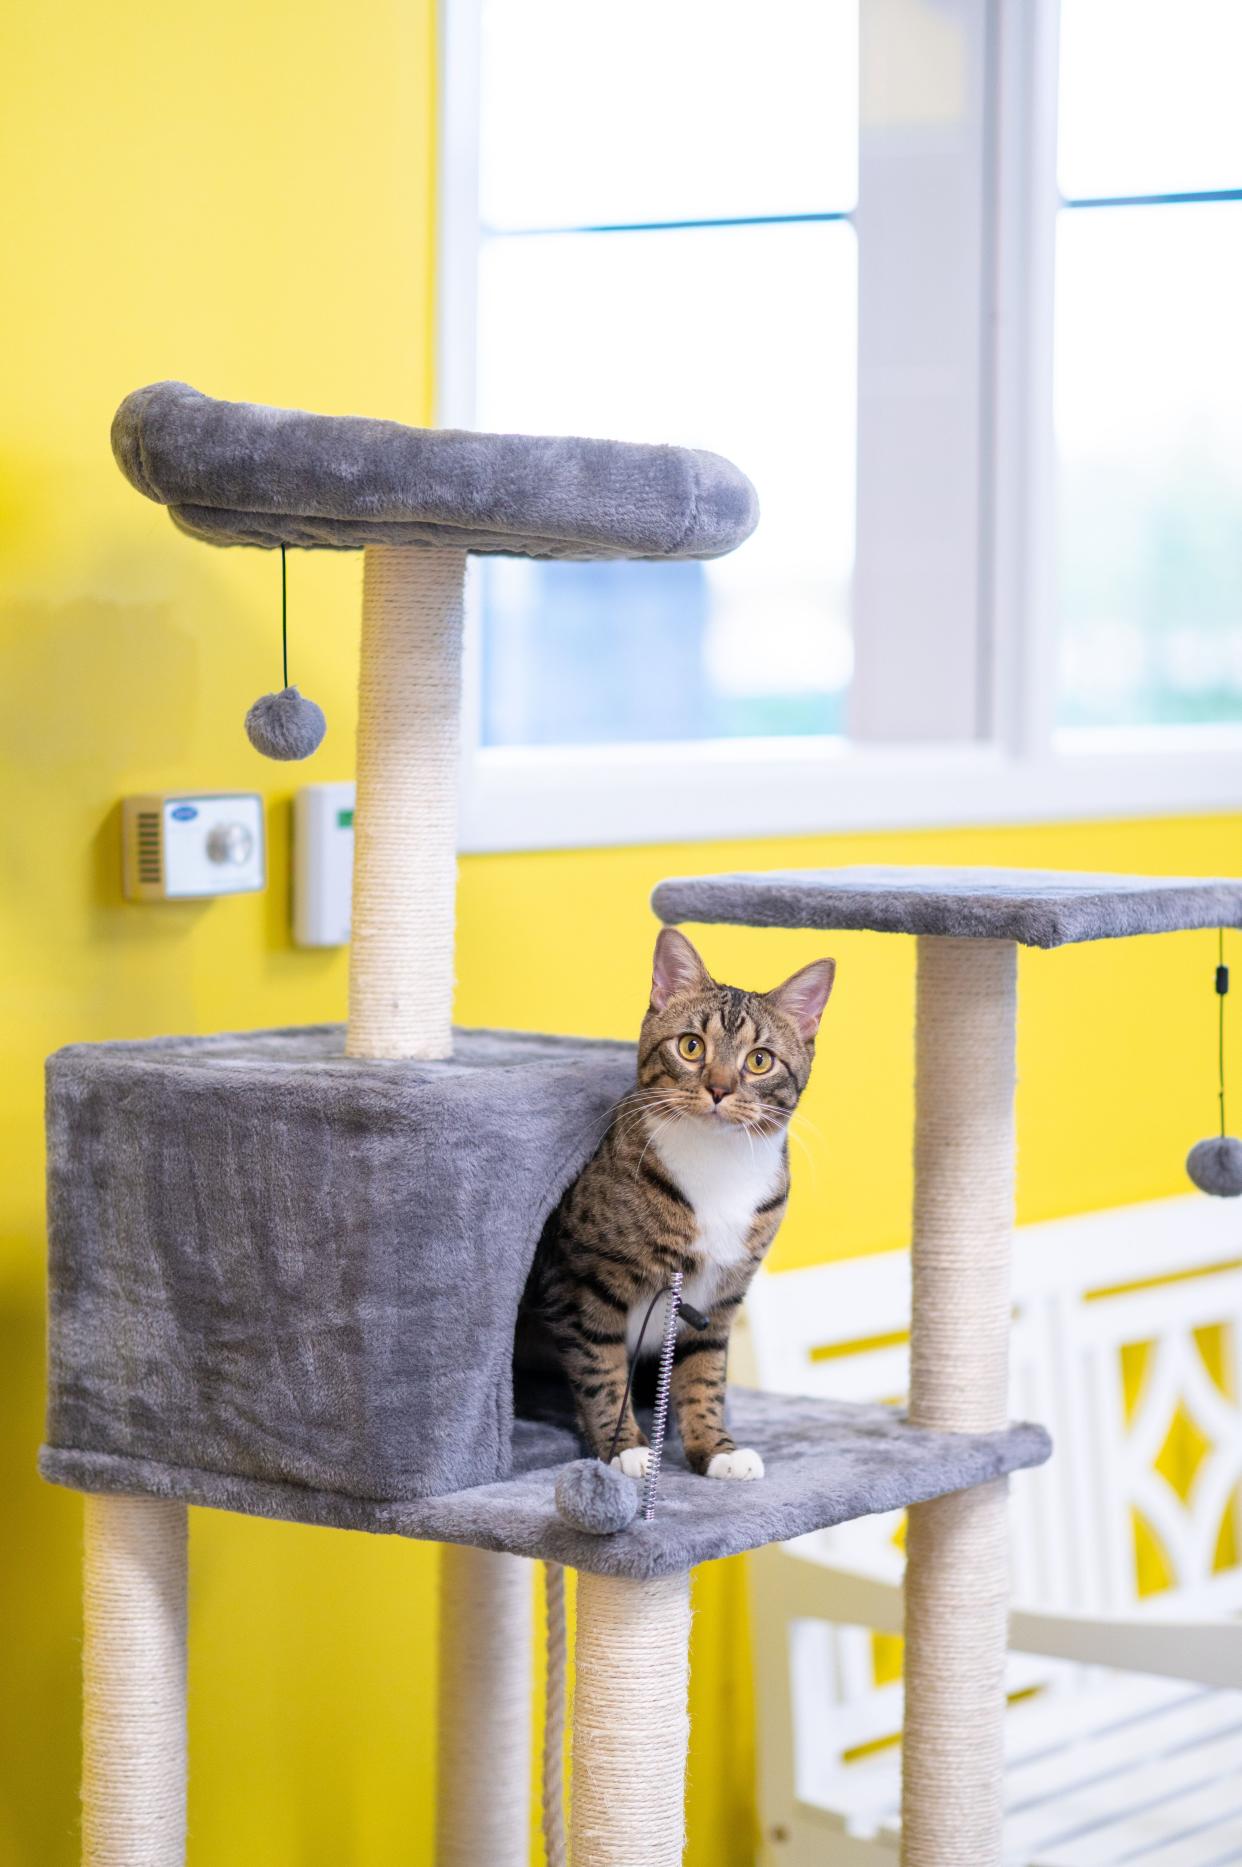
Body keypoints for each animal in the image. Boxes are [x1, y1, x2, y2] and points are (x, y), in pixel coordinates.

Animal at [519, 926, 829, 1478]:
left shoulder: (720, 1299)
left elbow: (703, 1373)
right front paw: (626, 1448)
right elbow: (601, 1371)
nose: (719, 1088)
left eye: (760, 1060)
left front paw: (716, 1450)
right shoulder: (580, 1283)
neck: (719, 1166)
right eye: (690, 1046)